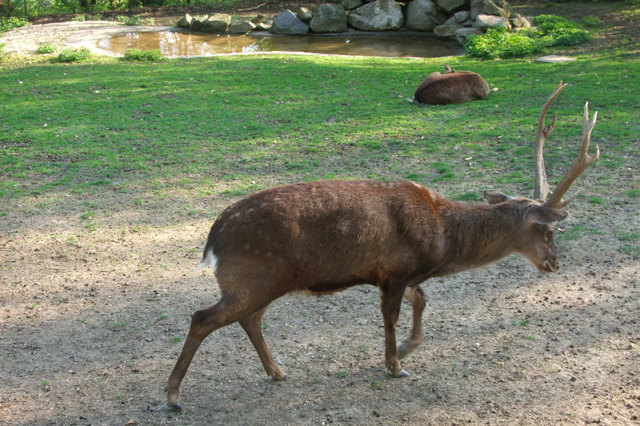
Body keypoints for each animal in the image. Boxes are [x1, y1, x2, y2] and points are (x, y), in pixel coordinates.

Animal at [166, 82, 599, 411]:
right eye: (549, 231)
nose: (554, 264)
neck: (442, 237)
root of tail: (212, 240)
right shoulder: (396, 269)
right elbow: (391, 316)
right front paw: (395, 365)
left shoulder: (395, 273)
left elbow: (421, 300)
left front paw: (407, 349)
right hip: (255, 277)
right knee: (202, 317)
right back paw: (173, 396)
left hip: (262, 282)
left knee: (249, 320)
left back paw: (277, 371)